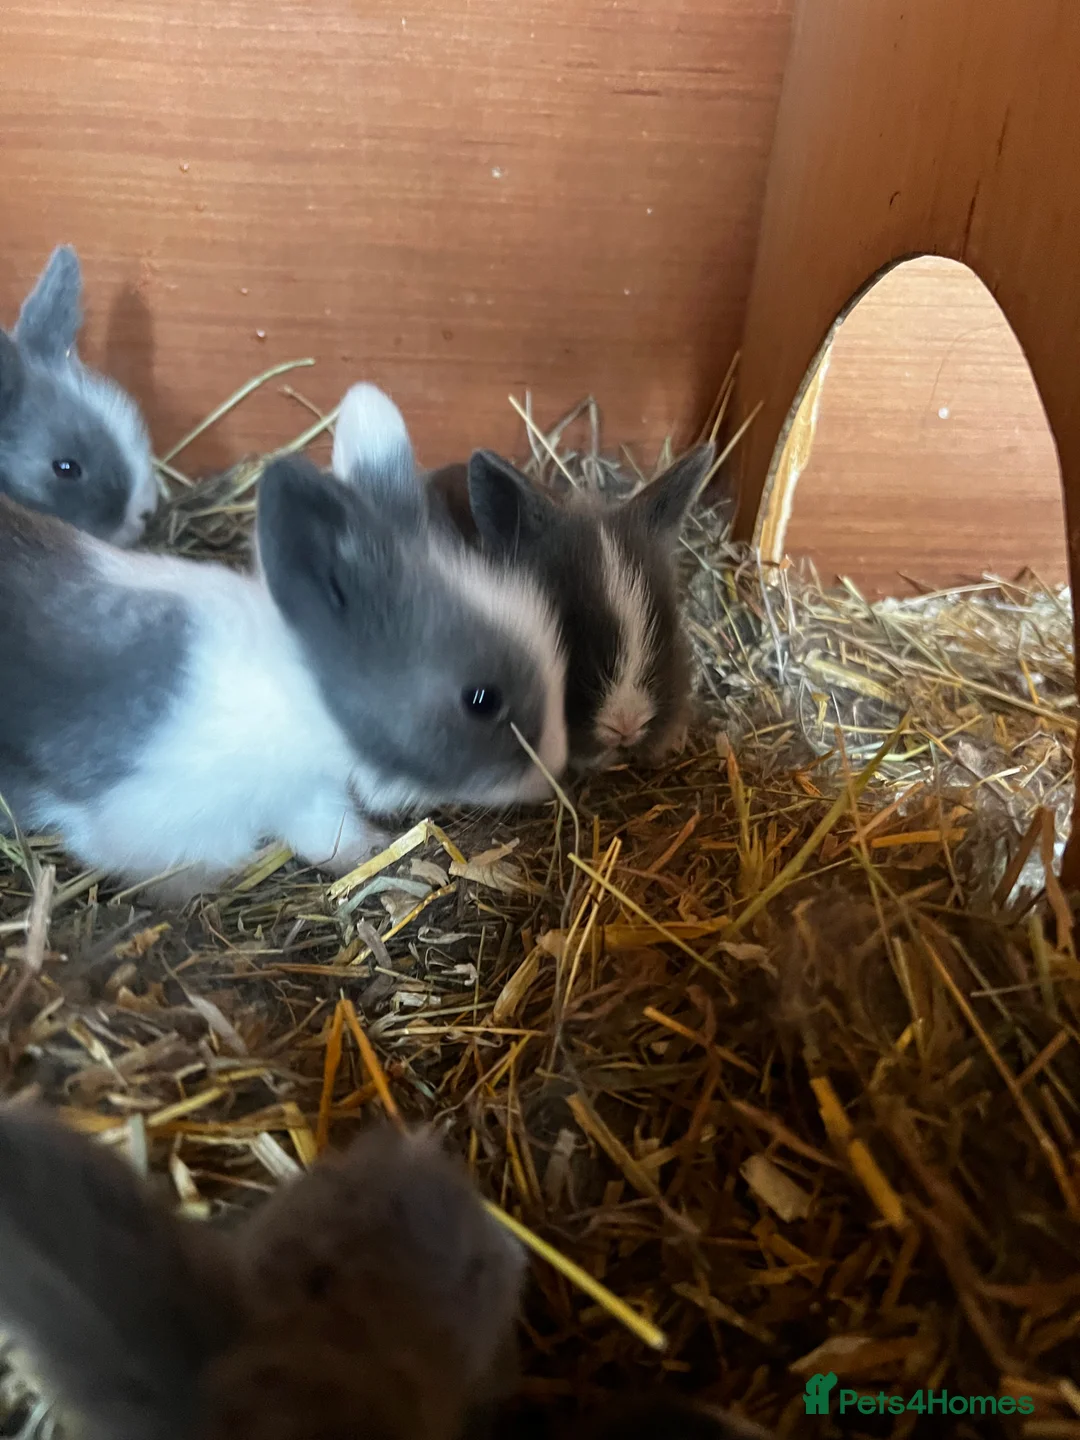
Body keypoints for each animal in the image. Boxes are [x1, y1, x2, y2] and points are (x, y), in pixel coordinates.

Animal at [0, 383, 567, 900]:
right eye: (482, 700)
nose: (555, 771)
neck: (305, 693)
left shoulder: (305, 796)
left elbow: (329, 835)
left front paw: (367, 851)